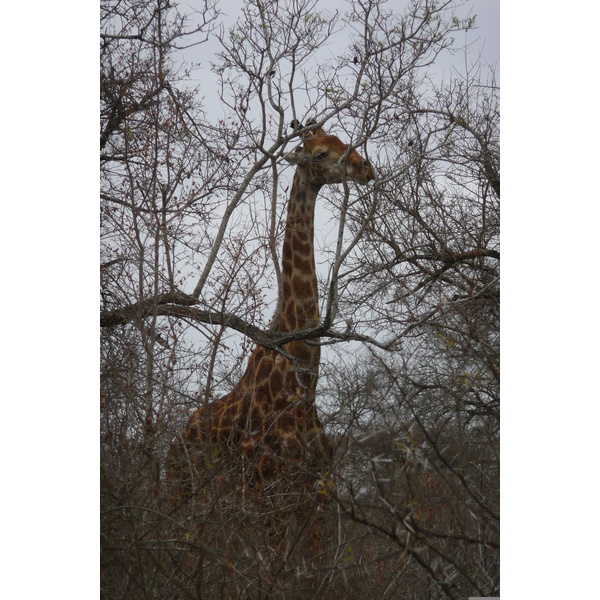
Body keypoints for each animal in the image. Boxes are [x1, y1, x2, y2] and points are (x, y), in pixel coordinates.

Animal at [168, 123, 376, 510]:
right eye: (320, 153)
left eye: (343, 140)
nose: (365, 168)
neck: (303, 392)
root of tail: (174, 443)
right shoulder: (267, 492)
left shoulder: (318, 493)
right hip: (181, 494)